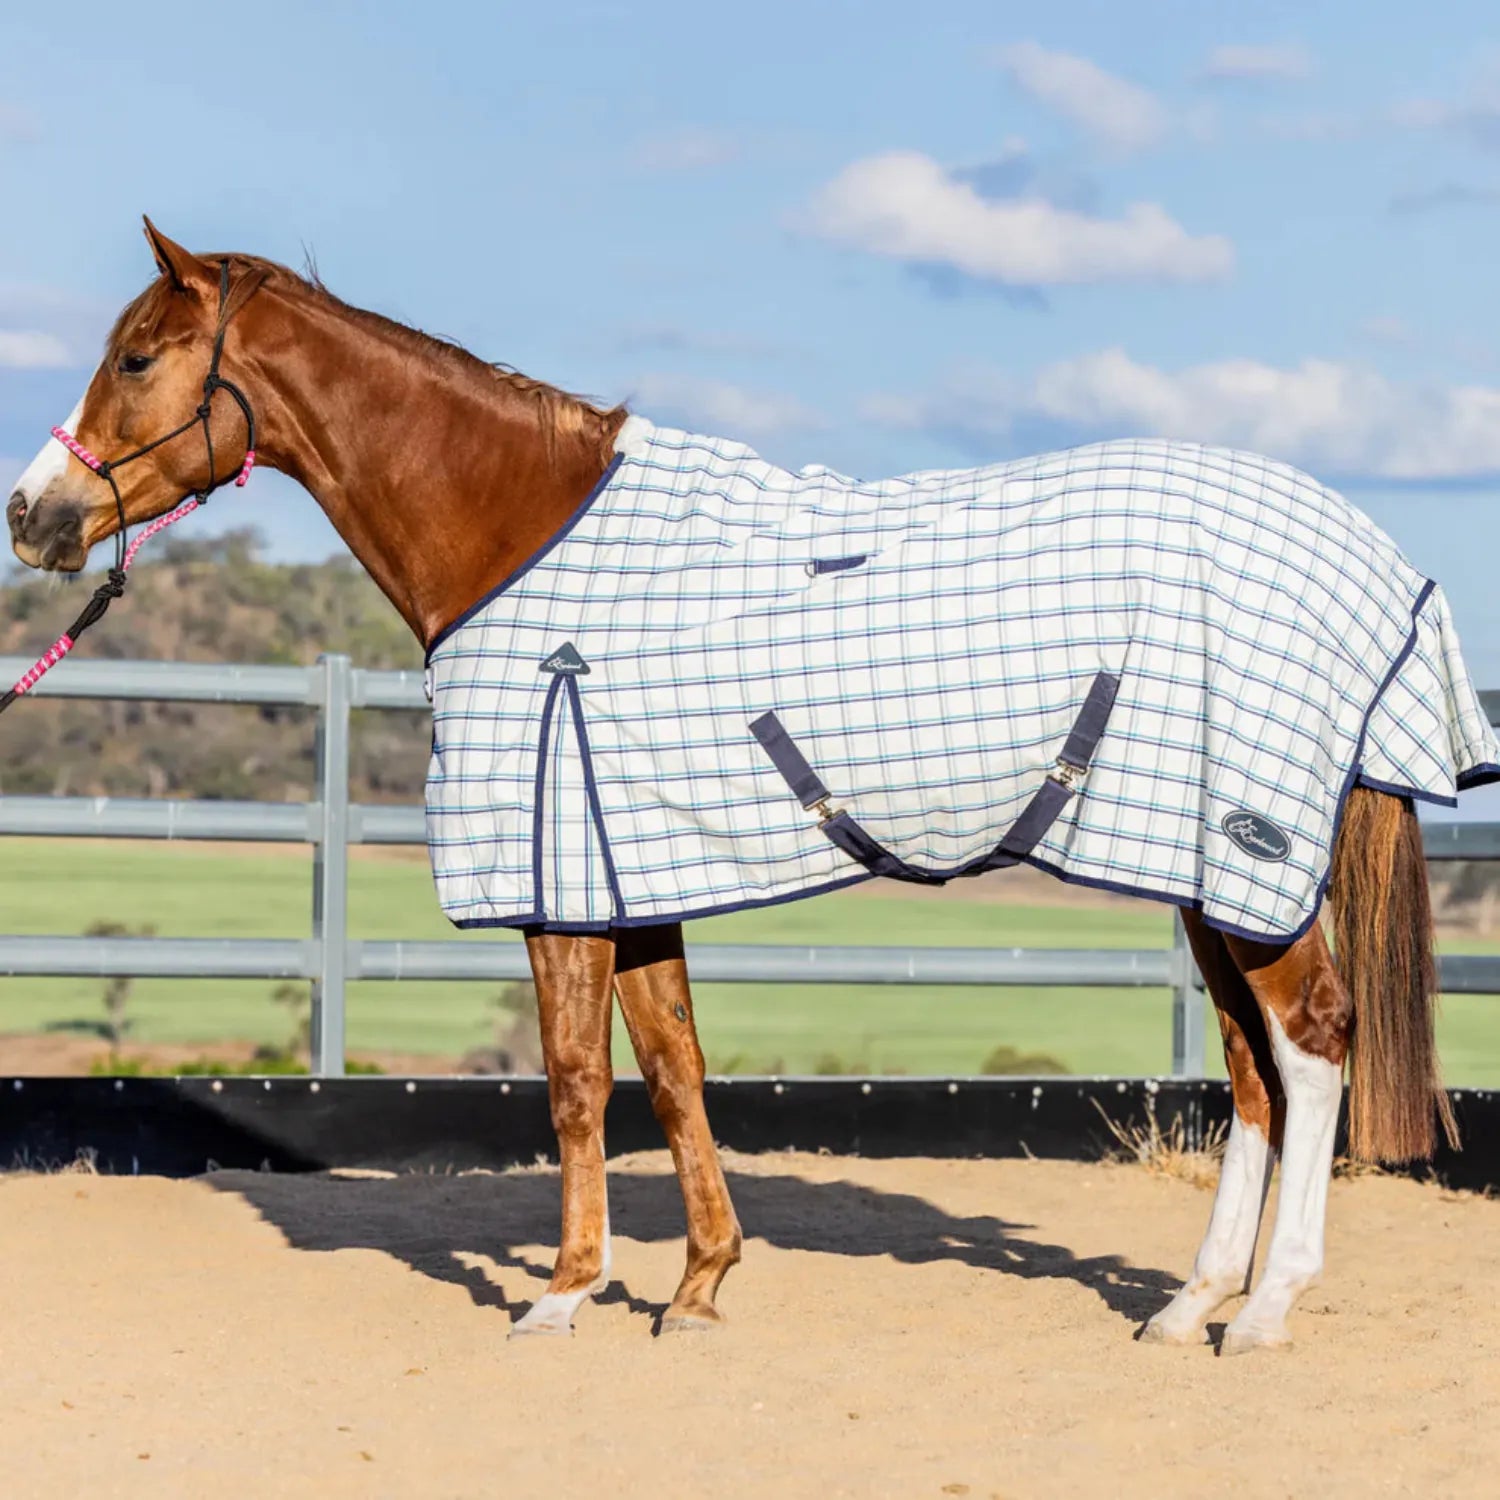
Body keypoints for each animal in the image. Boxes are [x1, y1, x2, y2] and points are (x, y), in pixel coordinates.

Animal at [7, 220, 1490, 1354]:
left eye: (136, 357)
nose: (33, 517)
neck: (518, 532)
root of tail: (1366, 553)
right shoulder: (632, 870)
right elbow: (674, 1069)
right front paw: (701, 1285)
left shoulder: (558, 879)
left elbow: (573, 1080)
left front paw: (566, 1295)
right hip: (1199, 866)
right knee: (1255, 1070)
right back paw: (1189, 1305)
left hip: (1245, 864)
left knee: (1314, 1044)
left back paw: (1268, 1311)